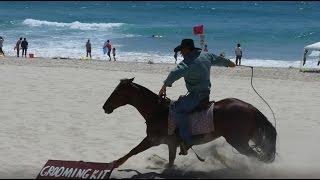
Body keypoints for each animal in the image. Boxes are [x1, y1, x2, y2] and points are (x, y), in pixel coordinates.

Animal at [103, 77, 278, 169]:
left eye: (117, 92)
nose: (105, 107)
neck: (158, 112)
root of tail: (250, 108)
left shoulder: (153, 140)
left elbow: (133, 151)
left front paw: (114, 164)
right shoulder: (170, 144)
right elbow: (170, 160)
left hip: (238, 142)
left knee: (258, 157)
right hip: (251, 138)